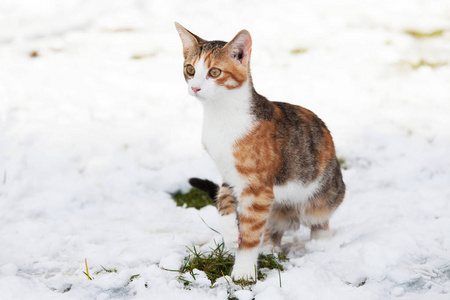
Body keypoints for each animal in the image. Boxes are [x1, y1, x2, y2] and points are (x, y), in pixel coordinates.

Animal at [175, 21, 344, 282]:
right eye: (190, 69)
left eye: (215, 72)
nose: (195, 87)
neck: (221, 114)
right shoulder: (229, 174)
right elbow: (224, 201)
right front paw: (230, 235)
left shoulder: (258, 189)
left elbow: (251, 230)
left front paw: (243, 271)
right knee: (275, 224)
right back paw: (271, 246)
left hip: (326, 191)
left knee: (319, 218)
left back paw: (320, 244)